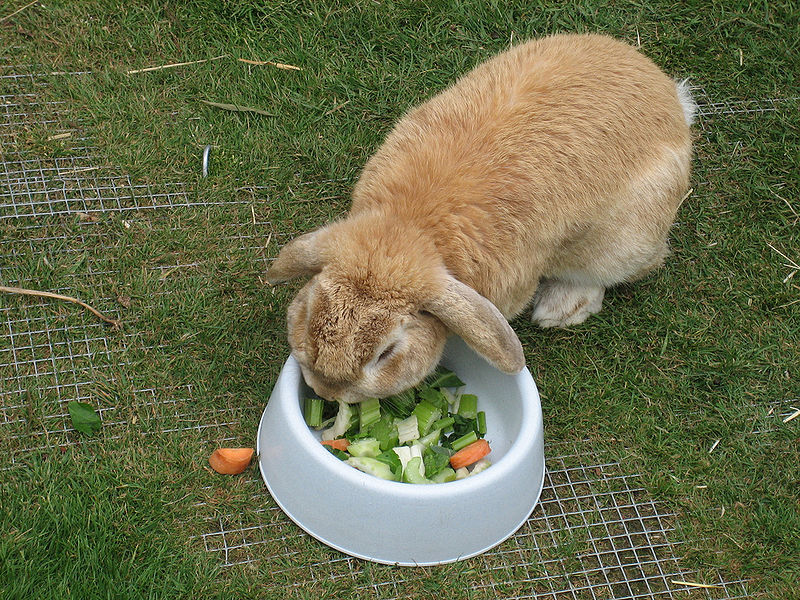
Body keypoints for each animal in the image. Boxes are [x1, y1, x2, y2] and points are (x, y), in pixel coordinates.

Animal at [267, 33, 696, 403]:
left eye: (386, 353)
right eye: (308, 316)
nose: (326, 392)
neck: (411, 227)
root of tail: (674, 101)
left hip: (625, 241)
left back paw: (561, 308)